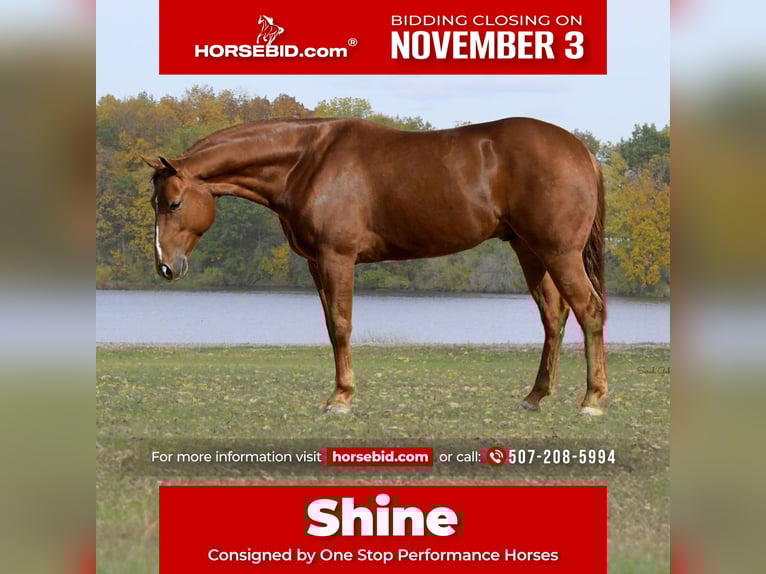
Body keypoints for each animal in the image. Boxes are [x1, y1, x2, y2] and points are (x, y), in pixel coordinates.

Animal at [145, 117, 608, 416]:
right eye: (155, 202)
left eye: (174, 203)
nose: (165, 266)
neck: (307, 161)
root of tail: (582, 151)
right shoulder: (316, 265)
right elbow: (331, 326)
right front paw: (336, 394)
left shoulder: (337, 258)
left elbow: (343, 325)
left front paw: (341, 399)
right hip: (530, 251)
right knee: (553, 316)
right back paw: (536, 396)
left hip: (558, 252)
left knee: (589, 311)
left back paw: (593, 400)